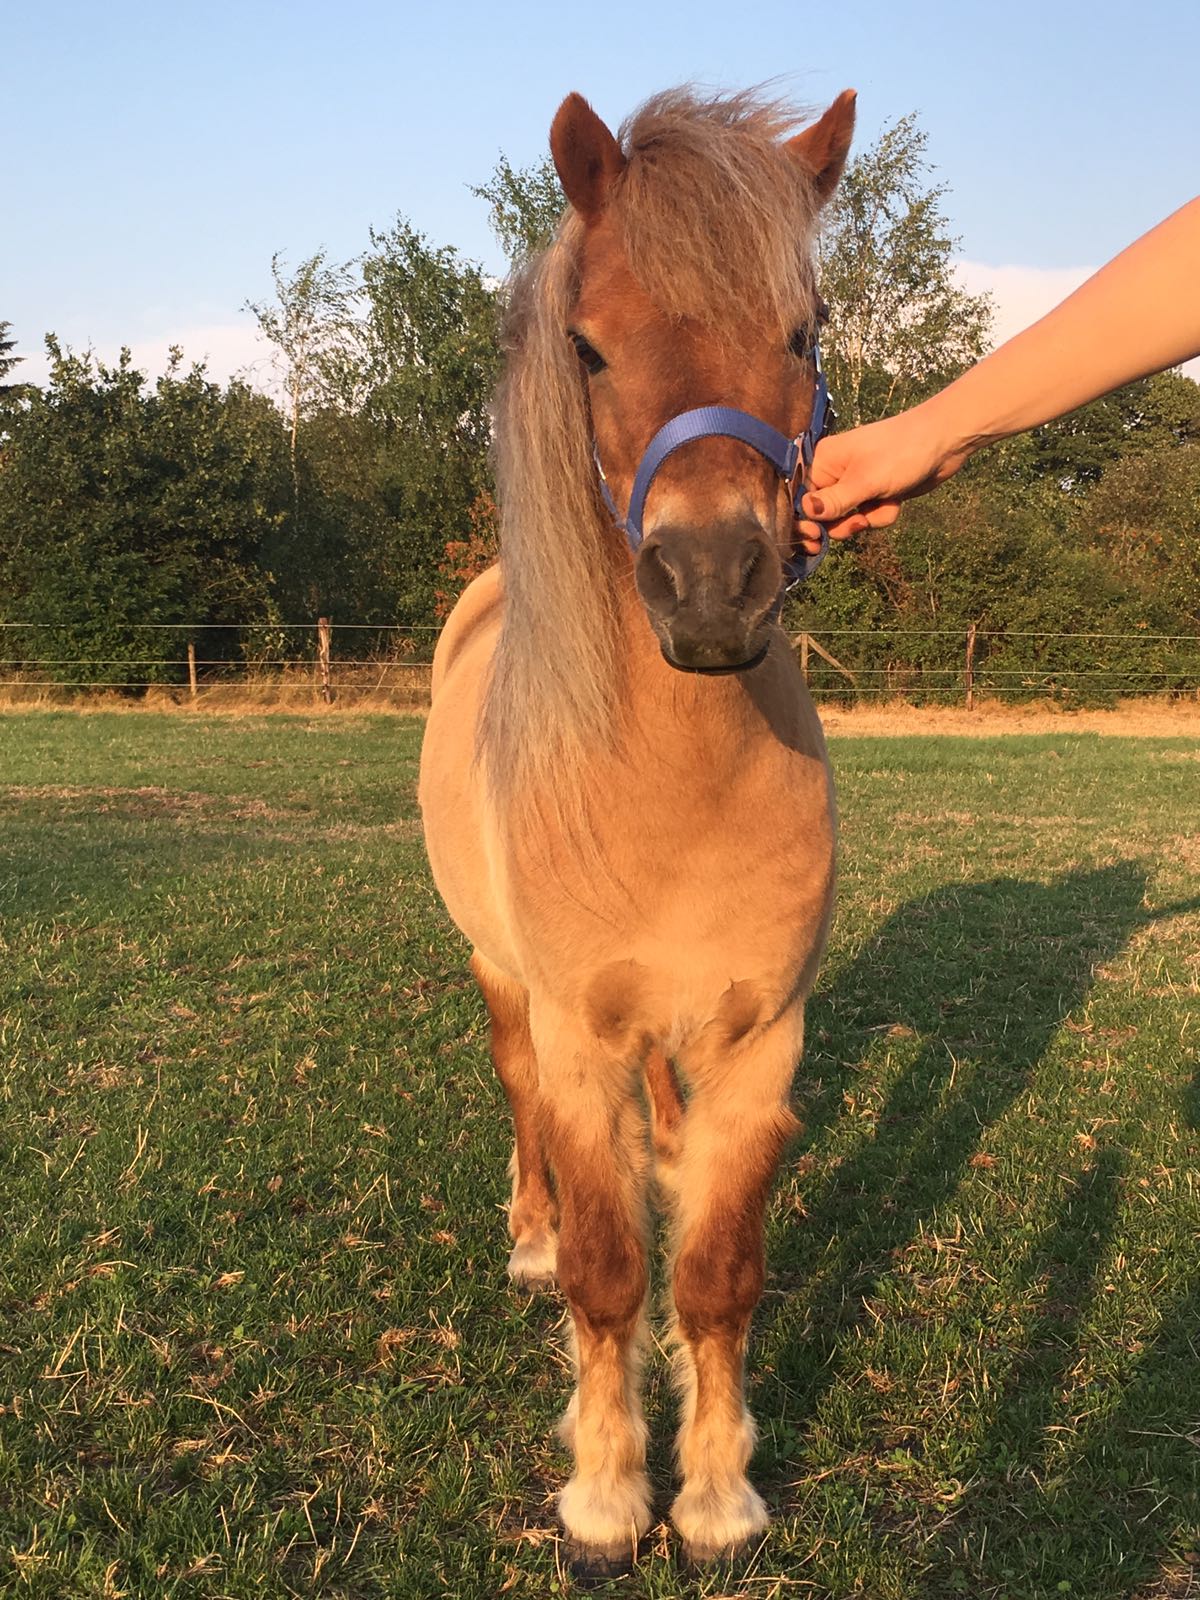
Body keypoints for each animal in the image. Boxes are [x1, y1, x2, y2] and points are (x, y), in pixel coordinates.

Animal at [418, 84, 855, 1574]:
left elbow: (717, 1276)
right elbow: (613, 1276)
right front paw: (607, 1499)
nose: (712, 583)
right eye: (590, 345)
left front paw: (717, 1500)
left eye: (802, 332)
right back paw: (530, 1234)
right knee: (518, 1102)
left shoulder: (760, 1040)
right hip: (502, 981)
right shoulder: (579, 1035)